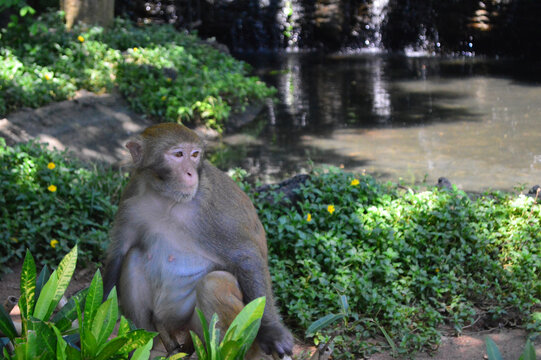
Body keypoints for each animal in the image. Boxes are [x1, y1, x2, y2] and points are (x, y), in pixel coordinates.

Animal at [103, 123, 294, 358]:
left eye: (194, 155)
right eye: (178, 154)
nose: (190, 173)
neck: (167, 198)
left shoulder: (212, 206)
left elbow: (245, 256)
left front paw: (272, 331)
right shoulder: (131, 197)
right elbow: (118, 254)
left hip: (241, 334)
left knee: (213, 284)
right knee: (132, 259)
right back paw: (146, 347)